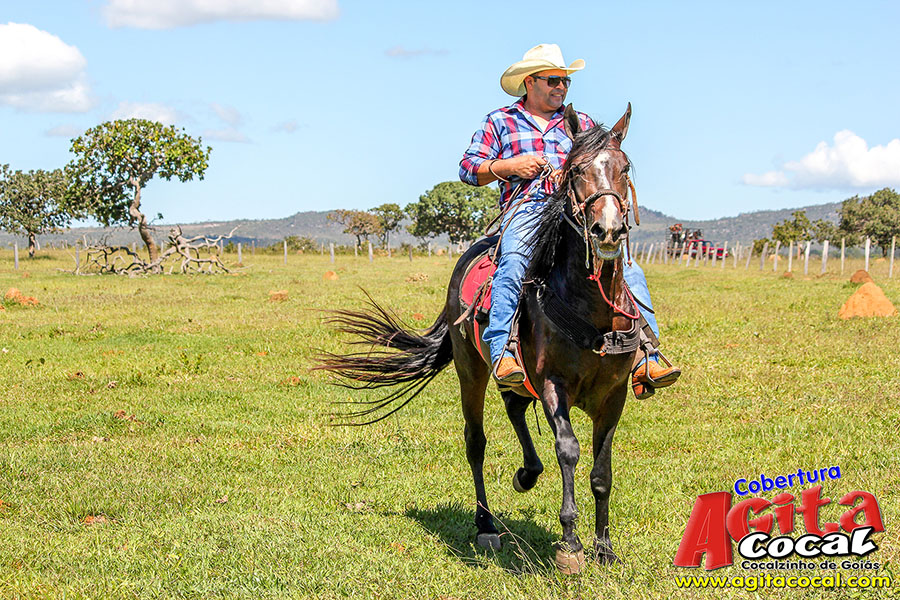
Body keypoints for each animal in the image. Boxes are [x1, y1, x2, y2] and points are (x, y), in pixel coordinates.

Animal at [315, 104, 640, 574]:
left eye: (624, 167)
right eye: (576, 169)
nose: (608, 230)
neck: (590, 309)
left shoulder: (614, 395)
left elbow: (602, 473)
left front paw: (604, 548)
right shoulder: (553, 384)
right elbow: (569, 450)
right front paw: (570, 545)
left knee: (514, 406)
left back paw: (527, 473)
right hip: (471, 371)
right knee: (476, 441)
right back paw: (486, 524)